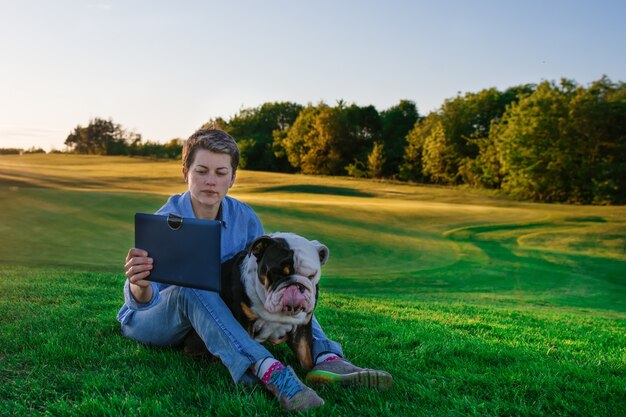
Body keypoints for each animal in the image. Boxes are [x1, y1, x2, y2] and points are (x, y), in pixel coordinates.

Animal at [180, 231, 326, 370]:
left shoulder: (303, 327)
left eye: (312, 275)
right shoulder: (244, 322)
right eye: (278, 273)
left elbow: (306, 356)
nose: (298, 285)